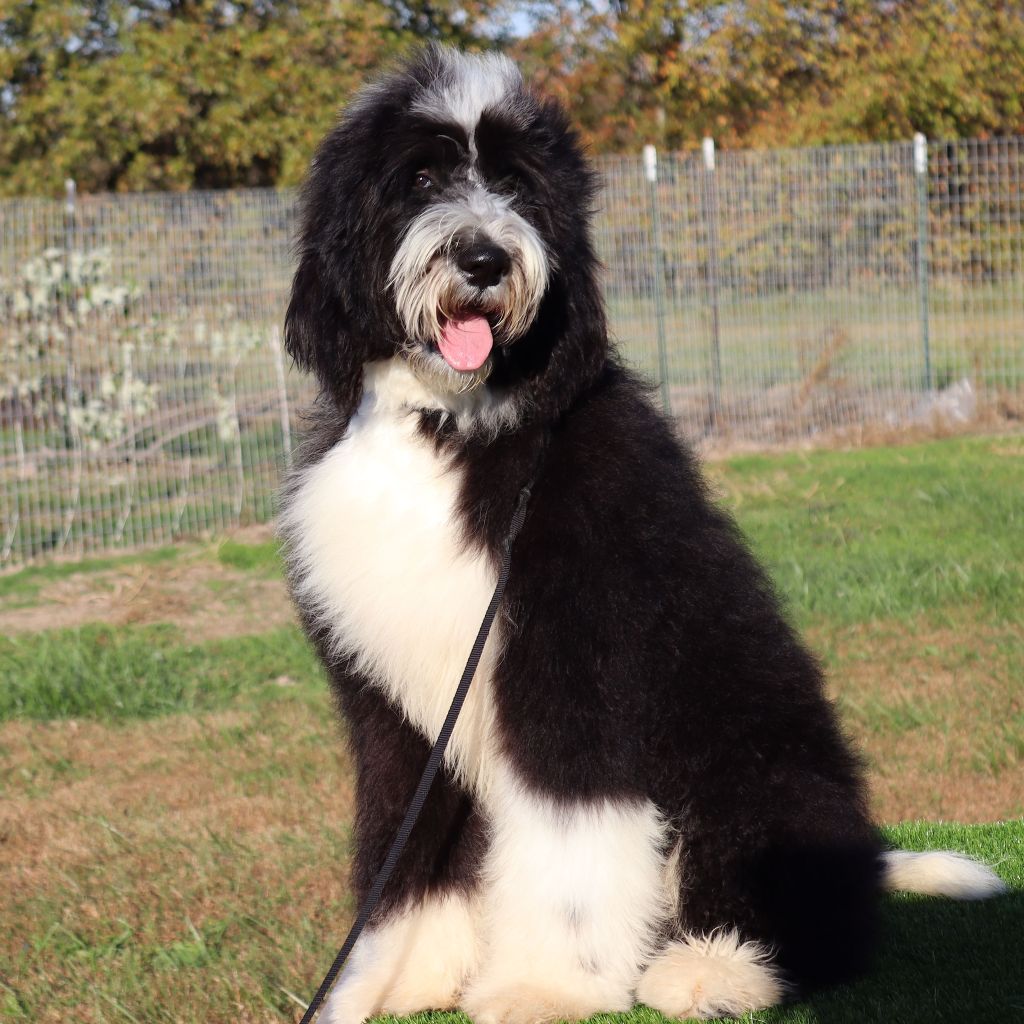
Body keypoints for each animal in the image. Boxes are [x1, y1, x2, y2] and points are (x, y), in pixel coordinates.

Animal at [278, 45, 1006, 1023]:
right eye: (421, 177)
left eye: (517, 185)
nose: (484, 257)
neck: (452, 427)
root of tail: (863, 858)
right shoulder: (393, 705)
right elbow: (411, 833)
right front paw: (402, 973)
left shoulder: (572, 667)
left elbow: (568, 833)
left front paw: (540, 985)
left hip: (761, 773)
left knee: (809, 922)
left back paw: (711, 969)